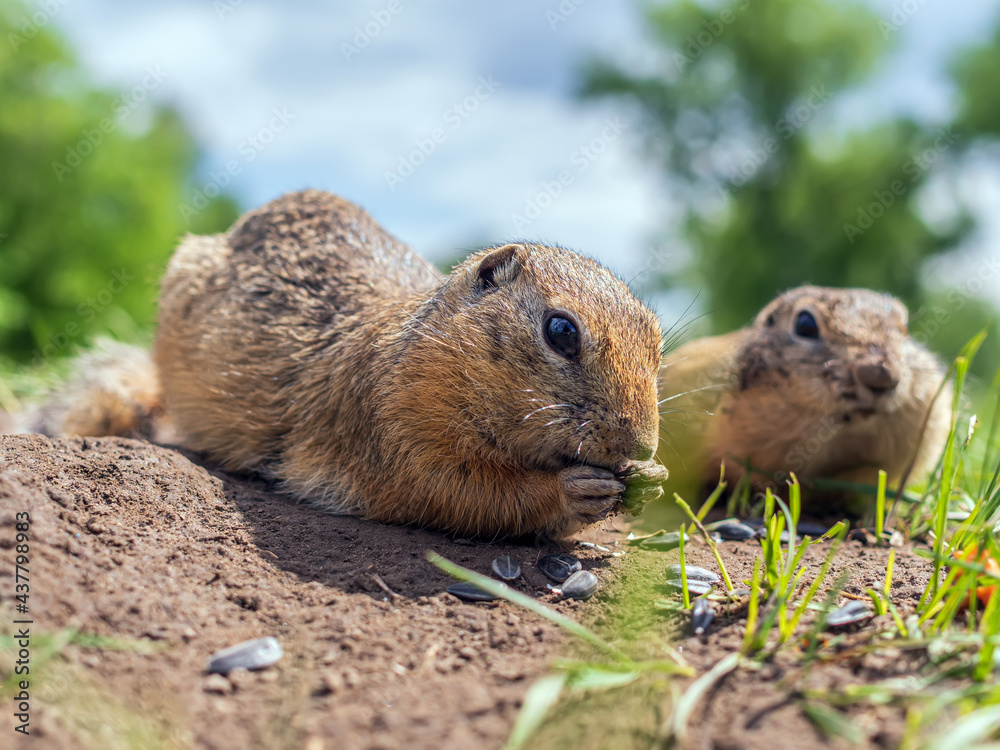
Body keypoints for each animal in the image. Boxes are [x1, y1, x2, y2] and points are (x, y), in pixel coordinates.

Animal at [11, 191, 668, 536]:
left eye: (658, 340)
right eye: (561, 331)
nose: (640, 445)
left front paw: (653, 480)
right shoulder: (391, 427)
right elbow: (455, 492)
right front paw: (573, 491)